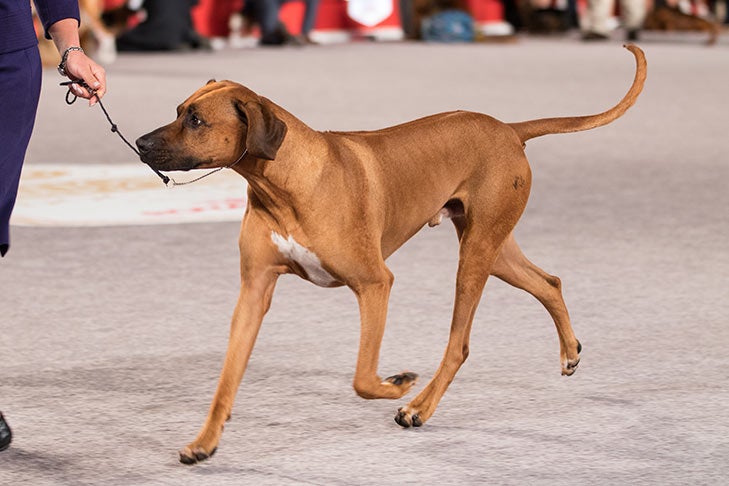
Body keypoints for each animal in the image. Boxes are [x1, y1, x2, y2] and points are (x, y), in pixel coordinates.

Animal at [134, 44, 644, 464]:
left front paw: (396, 384)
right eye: (178, 111)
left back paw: (418, 407)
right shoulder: (254, 290)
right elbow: (227, 378)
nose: (139, 143)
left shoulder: (375, 283)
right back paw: (569, 351)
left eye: (196, 120)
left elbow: (362, 377)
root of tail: (507, 129)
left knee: (459, 344)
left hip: (475, 255)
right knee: (548, 281)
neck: (285, 184)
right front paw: (204, 442)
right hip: (493, 247)